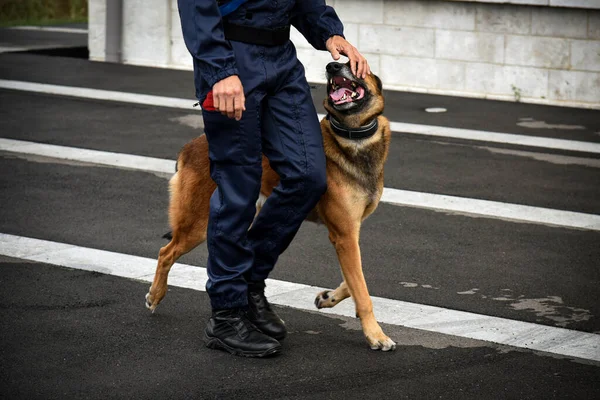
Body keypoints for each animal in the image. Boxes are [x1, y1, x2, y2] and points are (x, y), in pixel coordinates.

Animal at [146, 61, 394, 350]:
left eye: (349, 63)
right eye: (341, 62)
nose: (331, 66)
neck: (352, 136)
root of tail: (189, 148)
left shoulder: (350, 234)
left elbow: (356, 280)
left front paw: (329, 298)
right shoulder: (344, 235)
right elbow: (363, 291)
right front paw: (376, 334)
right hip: (198, 223)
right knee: (166, 252)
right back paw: (156, 296)